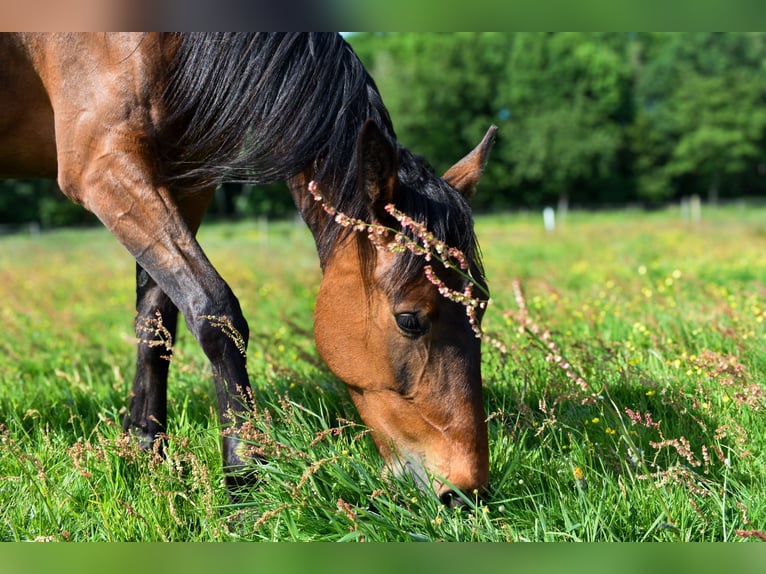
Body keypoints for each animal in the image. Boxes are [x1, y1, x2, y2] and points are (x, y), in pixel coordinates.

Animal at [0, 32, 498, 508]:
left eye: (481, 306)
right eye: (410, 320)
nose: (466, 492)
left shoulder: (184, 180)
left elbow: (157, 319)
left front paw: (145, 449)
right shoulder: (103, 167)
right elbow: (215, 312)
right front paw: (243, 478)